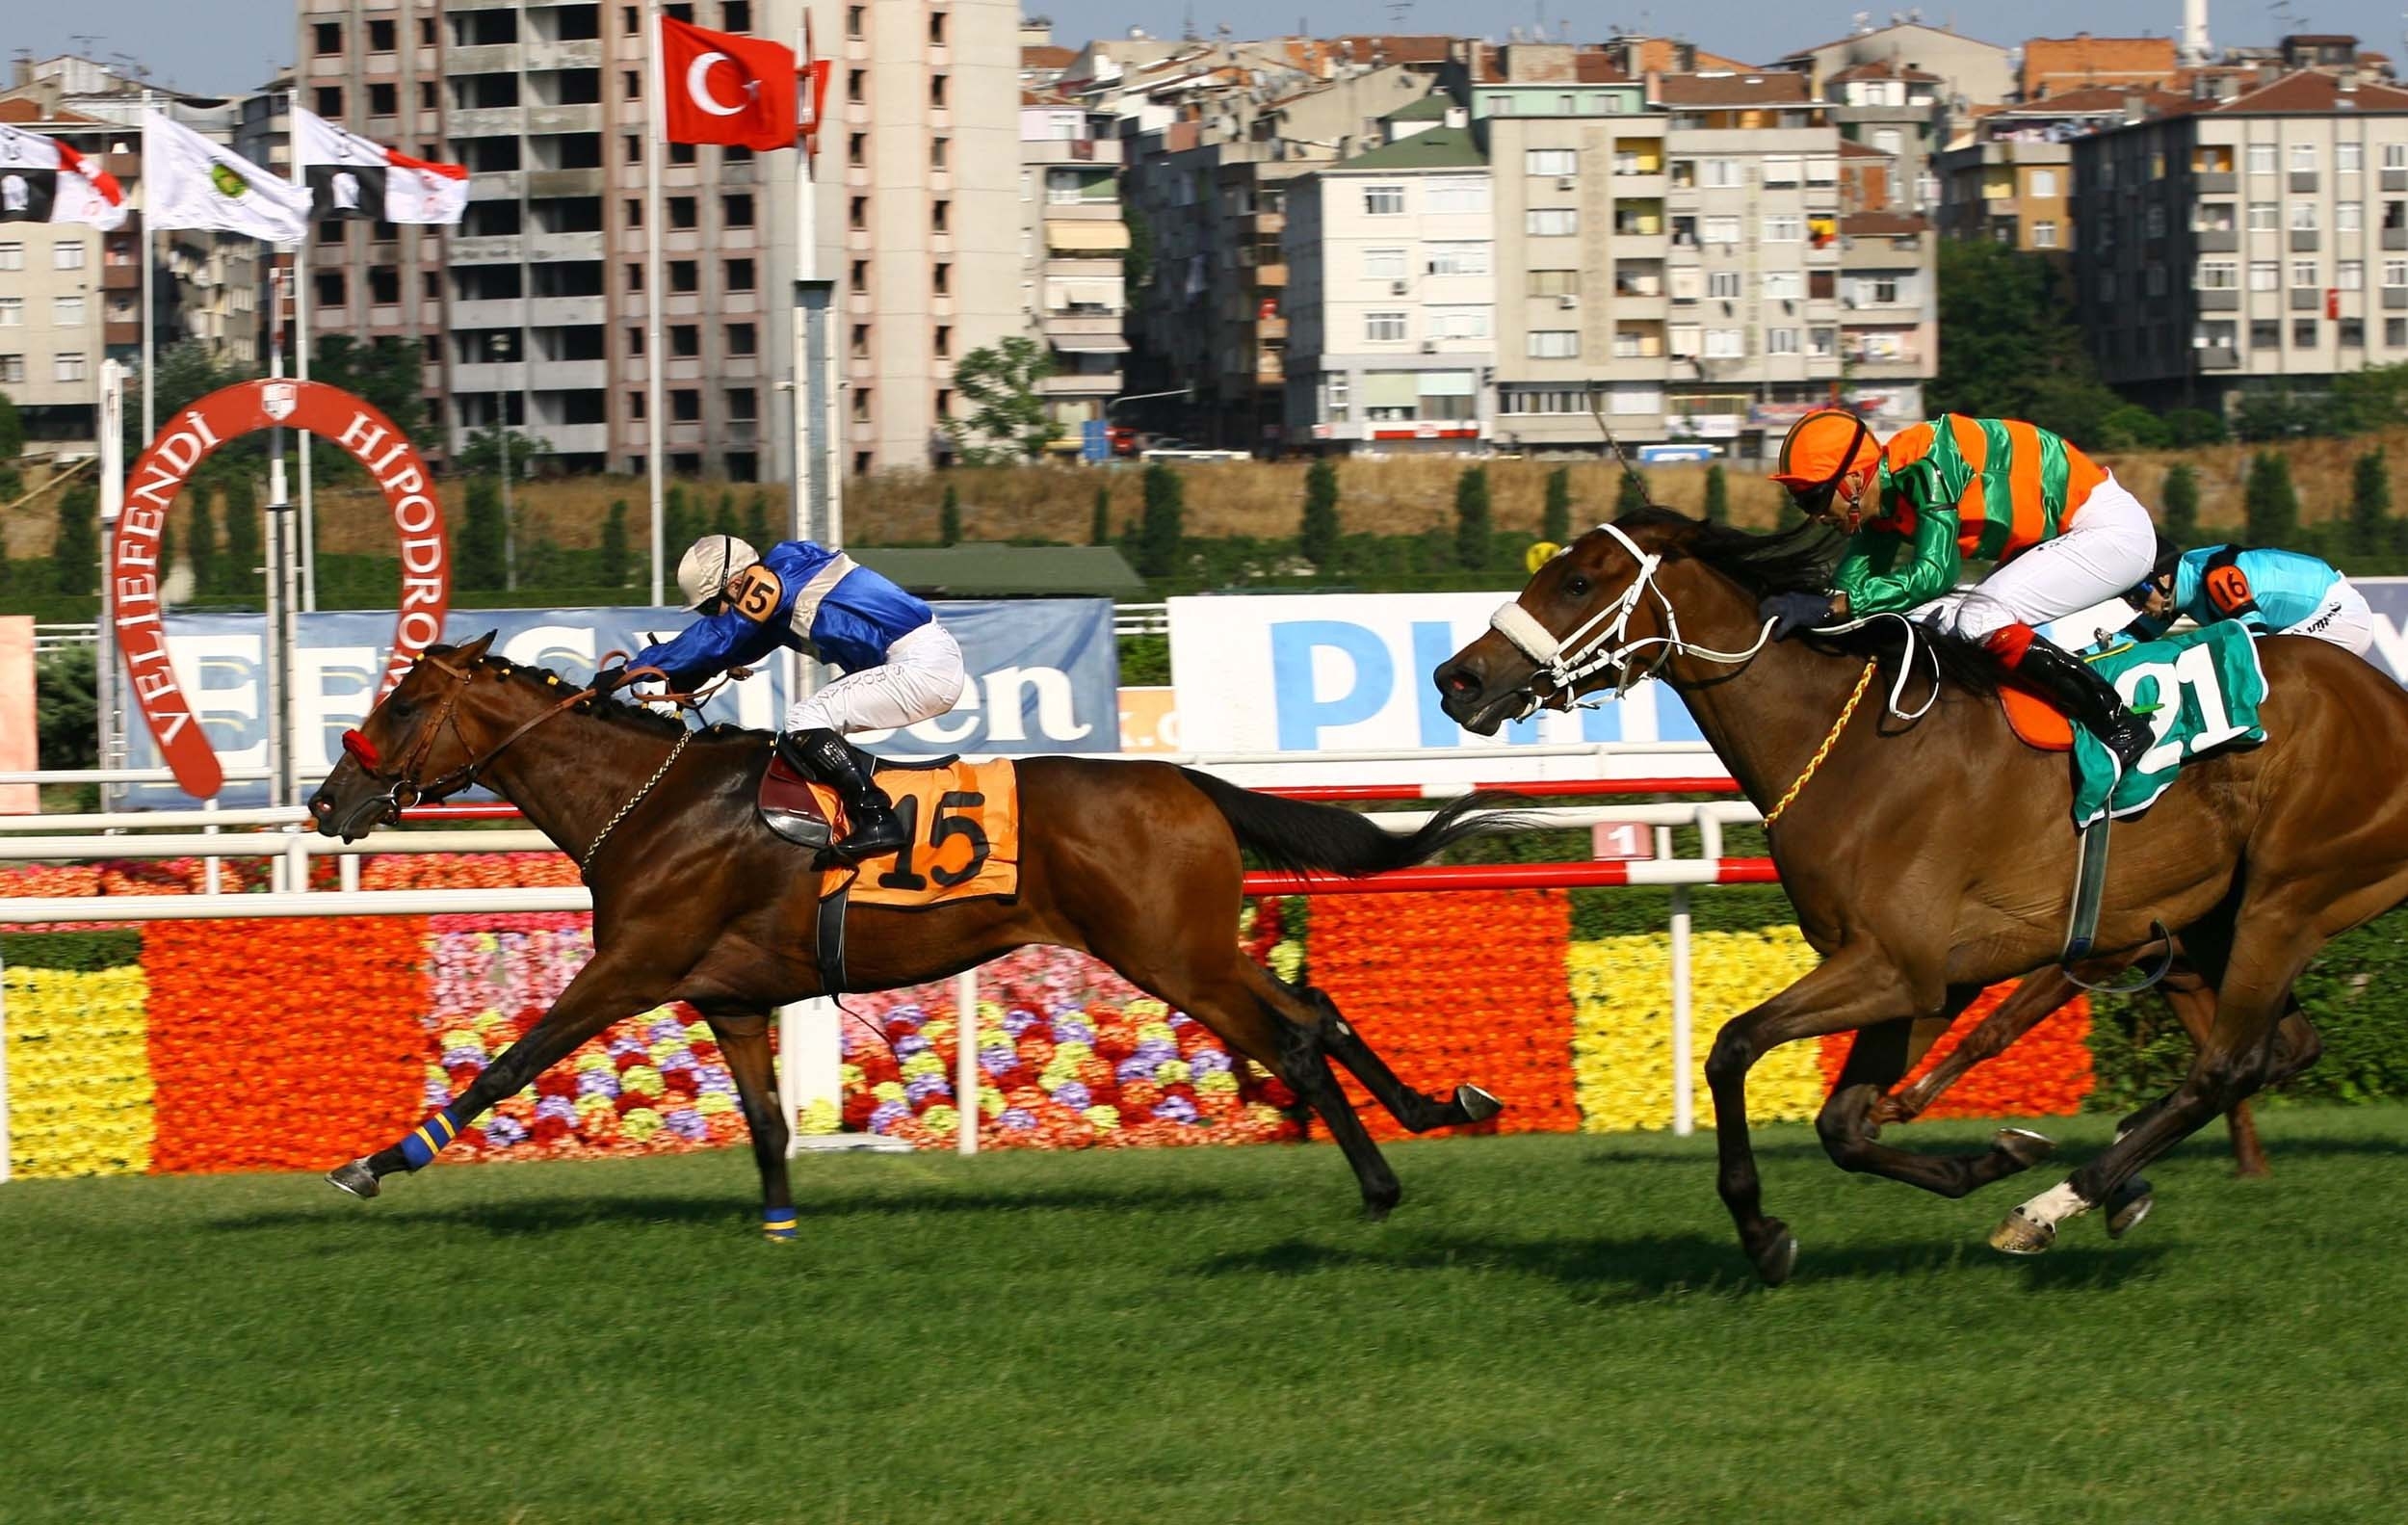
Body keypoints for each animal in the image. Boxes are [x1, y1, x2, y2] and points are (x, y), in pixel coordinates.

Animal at [306, 633, 1515, 1232]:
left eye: (402, 704)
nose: (327, 801)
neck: (650, 801)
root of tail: (1185, 781)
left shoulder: (631, 965)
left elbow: (507, 1063)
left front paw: (378, 1161)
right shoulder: (731, 996)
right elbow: (766, 1124)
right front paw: (779, 1227)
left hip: (1168, 953)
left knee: (1295, 1039)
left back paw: (1378, 1186)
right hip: (1196, 944)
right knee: (1316, 1007)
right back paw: (1439, 1104)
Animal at [1432, 507, 2408, 1283]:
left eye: (1579, 580)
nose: (1456, 679)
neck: (1850, 746)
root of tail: (2387, 698)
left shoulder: (1897, 966)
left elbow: (1733, 1047)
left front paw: (1760, 1230)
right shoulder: (1916, 975)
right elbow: (1843, 1125)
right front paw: (1990, 1156)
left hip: (2290, 896)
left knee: (2228, 1063)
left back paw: (2054, 1206)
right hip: (2216, 919)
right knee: (2280, 1047)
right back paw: (2112, 1174)